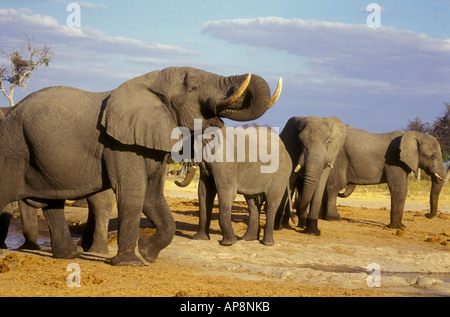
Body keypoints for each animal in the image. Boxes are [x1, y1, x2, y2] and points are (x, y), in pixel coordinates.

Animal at [0, 66, 282, 264]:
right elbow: (134, 193)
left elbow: (153, 196)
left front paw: (147, 255)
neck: (149, 83)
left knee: (51, 203)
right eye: (193, 88)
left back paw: (69, 256)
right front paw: (130, 263)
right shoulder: (120, 144)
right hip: (13, 147)